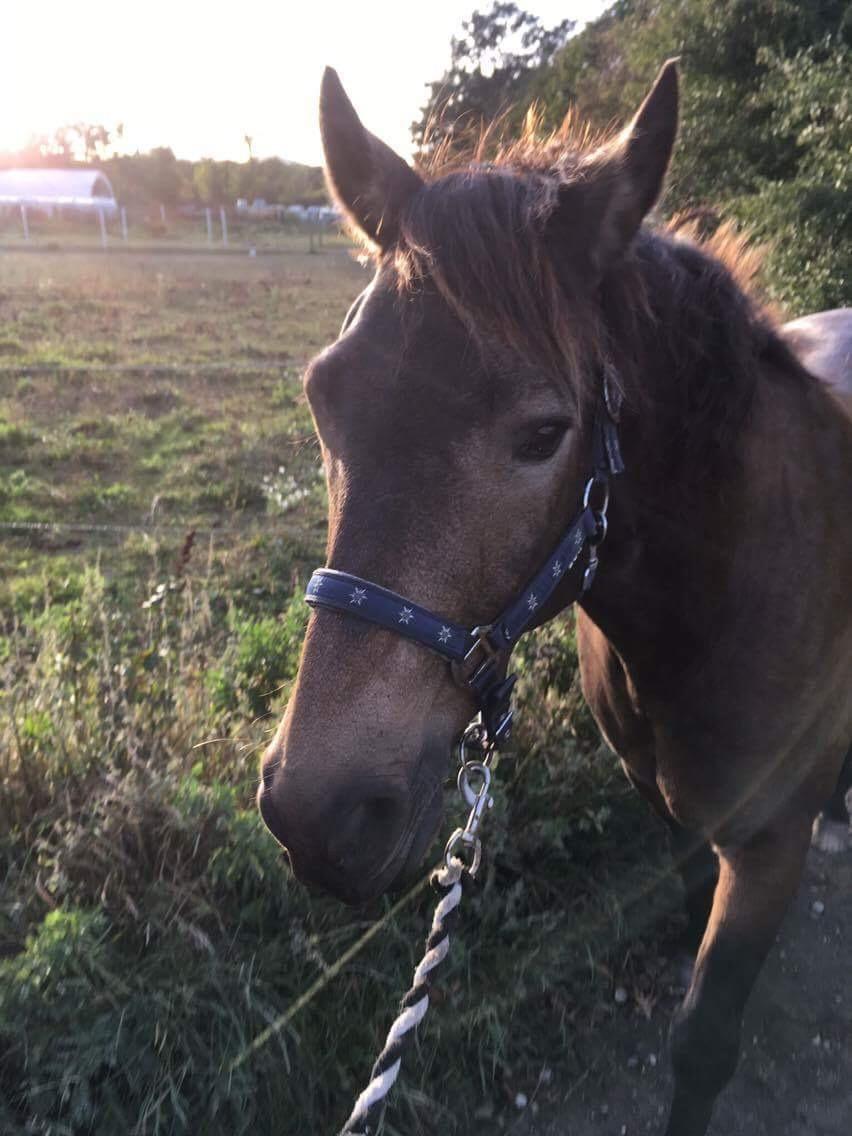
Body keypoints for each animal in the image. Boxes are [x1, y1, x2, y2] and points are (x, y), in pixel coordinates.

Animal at [260, 62, 852, 1136]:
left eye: (544, 433)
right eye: (324, 396)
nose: (315, 813)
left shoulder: (771, 845)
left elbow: (704, 1041)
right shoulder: (672, 814)